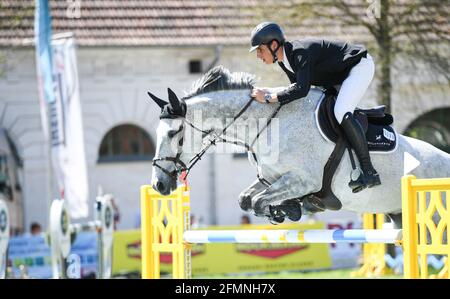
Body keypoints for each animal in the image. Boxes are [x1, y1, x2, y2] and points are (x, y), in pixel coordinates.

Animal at [150, 67, 450, 229]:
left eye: (175, 134)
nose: (159, 186)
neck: (270, 124)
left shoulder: (303, 180)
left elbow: (258, 202)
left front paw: (293, 209)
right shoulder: (273, 178)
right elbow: (247, 200)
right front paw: (292, 209)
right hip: (399, 216)